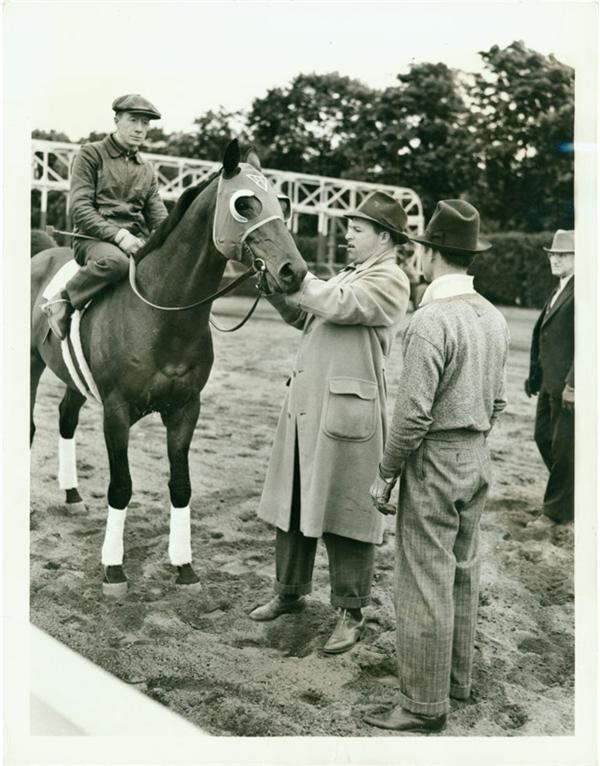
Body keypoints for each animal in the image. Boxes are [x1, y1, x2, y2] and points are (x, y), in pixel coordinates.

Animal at [30, 141, 308, 596]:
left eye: (281, 203)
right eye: (244, 204)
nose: (294, 271)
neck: (161, 313)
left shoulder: (185, 408)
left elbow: (181, 486)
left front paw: (184, 567)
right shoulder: (116, 411)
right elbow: (121, 487)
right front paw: (113, 569)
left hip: (74, 379)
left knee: (65, 418)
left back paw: (71, 495)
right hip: (30, 363)